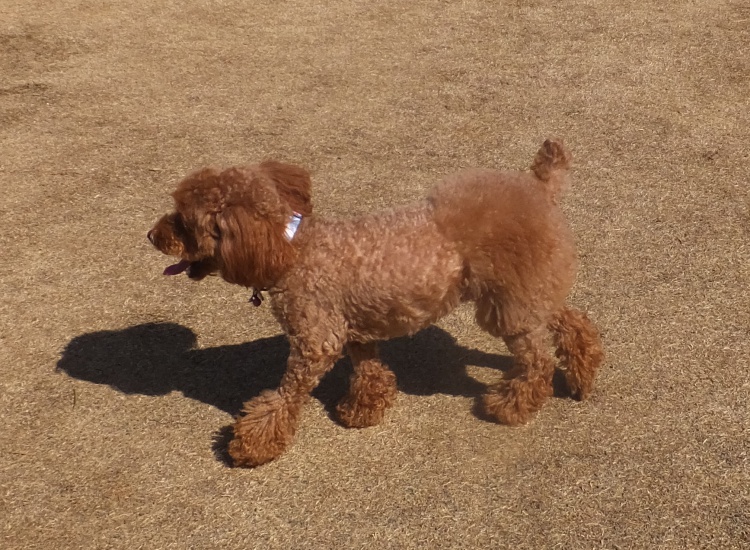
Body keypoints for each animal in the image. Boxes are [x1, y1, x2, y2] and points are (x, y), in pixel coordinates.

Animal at [148, 140, 603, 467]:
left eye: (183, 222)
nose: (151, 235)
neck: (292, 249)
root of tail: (538, 186)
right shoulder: (355, 331)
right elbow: (368, 371)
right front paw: (363, 410)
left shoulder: (315, 342)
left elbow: (285, 396)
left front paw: (252, 444)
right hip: (526, 291)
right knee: (572, 322)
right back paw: (582, 375)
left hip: (506, 303)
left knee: (537, 361)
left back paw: (510, 405)